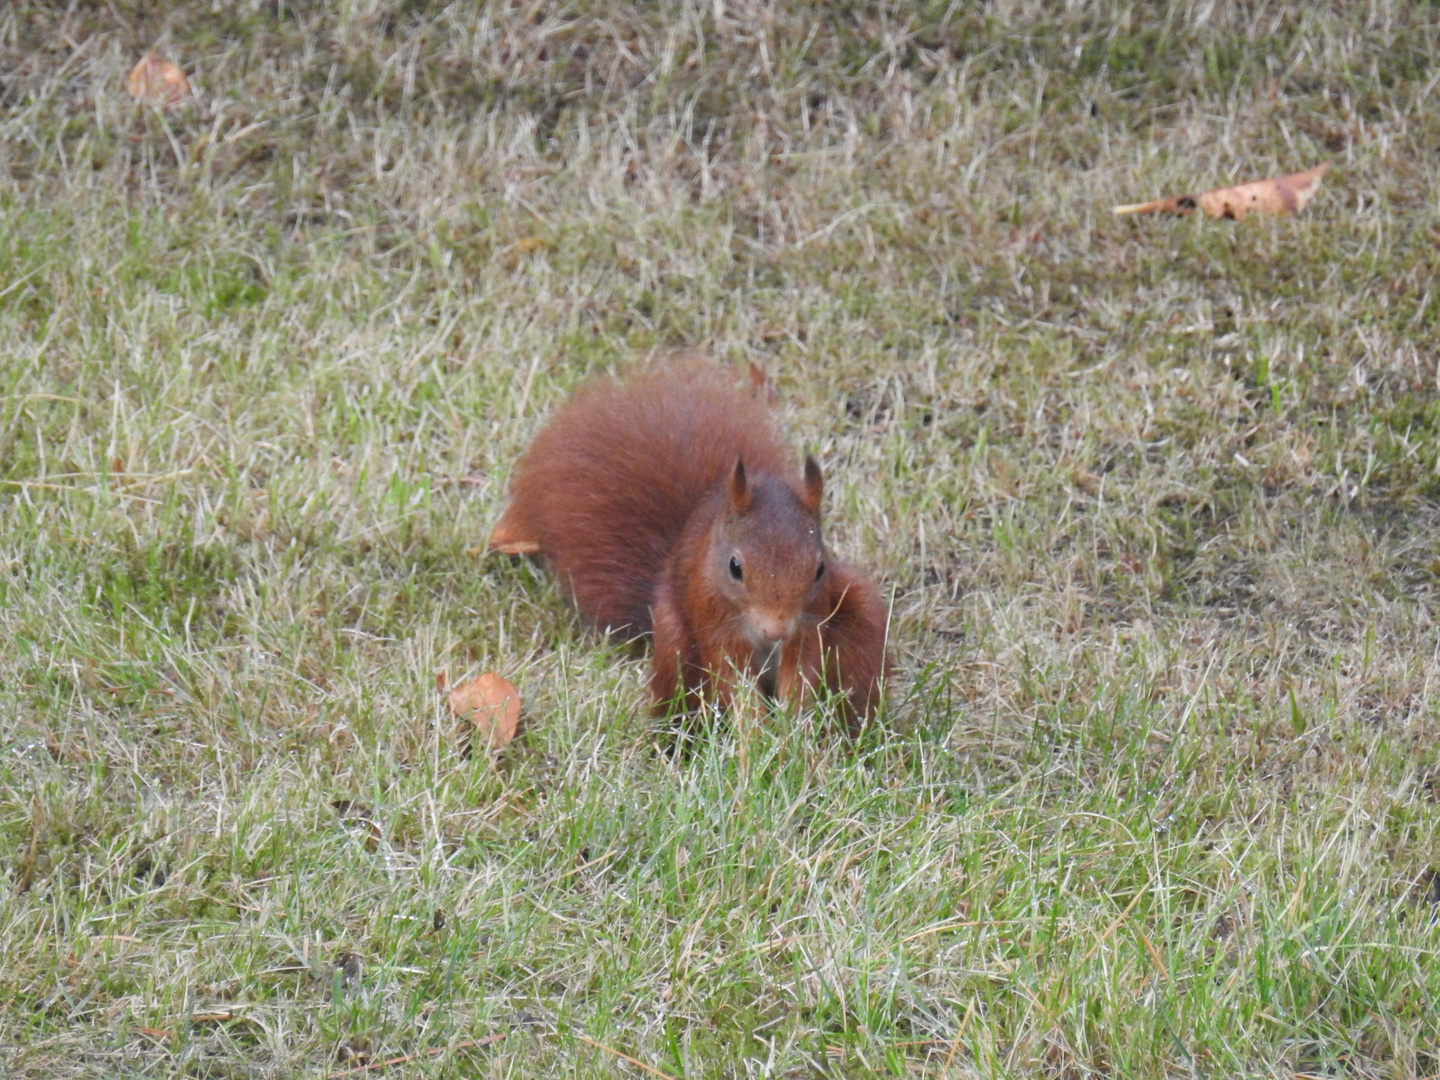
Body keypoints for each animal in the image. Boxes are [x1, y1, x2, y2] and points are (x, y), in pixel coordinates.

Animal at [489, 360, 881, 731]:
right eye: (734, 567)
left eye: (819, 569)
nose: (776, 630)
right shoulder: (714, 622)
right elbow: (734, 684)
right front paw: (755, 740)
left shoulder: (810, 621)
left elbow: (802, 673)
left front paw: (792, 730)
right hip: (676, 642)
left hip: (860, 617)